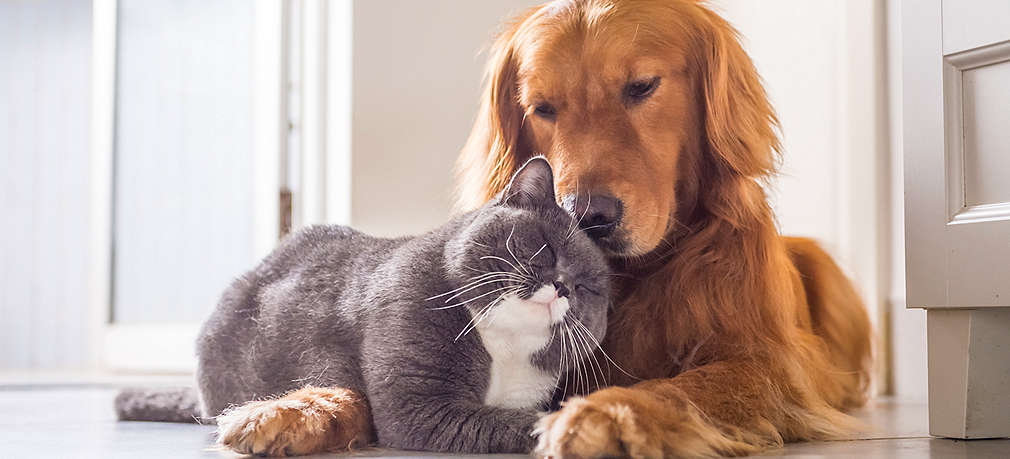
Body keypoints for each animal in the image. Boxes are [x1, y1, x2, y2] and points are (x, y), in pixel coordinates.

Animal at [116, 157, 606, 454]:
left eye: (589, 288)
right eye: (545, 248)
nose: (562, 286)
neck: (501, 348)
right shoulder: (419, 406)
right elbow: (520, 421)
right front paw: (572, 427)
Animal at [456, 0, 868, 454]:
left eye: (641, 87)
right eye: (542, 107)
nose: (587, 215)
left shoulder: (768, 364)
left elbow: (683, 387)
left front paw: (605, 413)